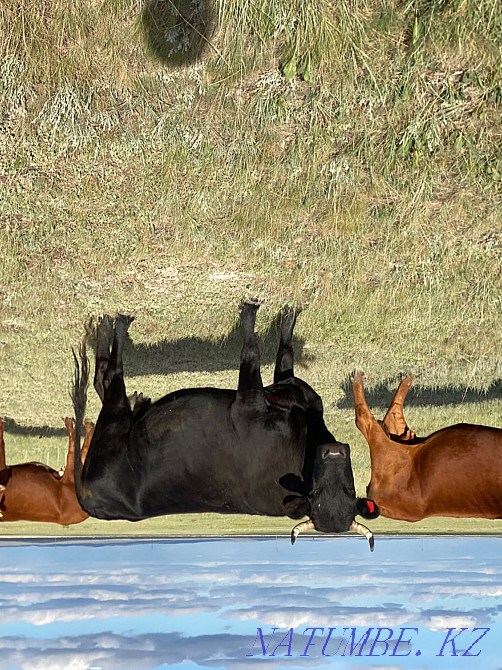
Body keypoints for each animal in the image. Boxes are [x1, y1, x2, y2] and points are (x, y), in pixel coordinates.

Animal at [72, 303, 379, 548]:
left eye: (347, 491)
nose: (333, 453)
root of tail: (87, 499)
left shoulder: (248, 402)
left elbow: (251, 353)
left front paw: (250, 311)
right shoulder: (282, 389)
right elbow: (281, 356)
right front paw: (287, 318)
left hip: (113, 426)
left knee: (110, 378)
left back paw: (113, 327)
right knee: (105, 379)